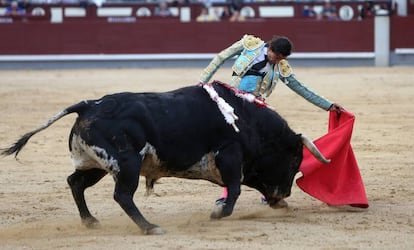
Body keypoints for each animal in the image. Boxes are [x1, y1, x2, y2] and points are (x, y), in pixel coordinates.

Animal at [0, 82, 330, 234]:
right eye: (294, 162)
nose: (284, 195)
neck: (248, 120)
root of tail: (88, 105)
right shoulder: (229, 155)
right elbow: (235, 189)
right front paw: (218, 213)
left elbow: (234, 188)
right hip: (127, 164)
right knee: (122, 195)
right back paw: (149, 227)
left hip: (97, 166)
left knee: (75, 182)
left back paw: (90, 221)